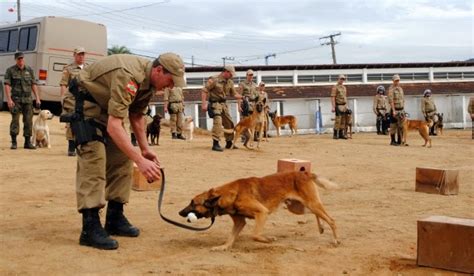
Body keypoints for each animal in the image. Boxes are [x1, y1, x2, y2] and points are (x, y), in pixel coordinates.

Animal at [180, 170, 338, 250]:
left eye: (193, 203)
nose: (180, 212)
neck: (230, 195)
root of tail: (305, 173)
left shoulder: (262, 213)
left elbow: (255, 235)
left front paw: (268, 239)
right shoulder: (239, 223)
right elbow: (231, 238)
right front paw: (223, 247)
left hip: (310, 203)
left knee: (331, 219)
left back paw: (335, 240)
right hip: (298, 208)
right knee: (317, 214)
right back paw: (321, 228)